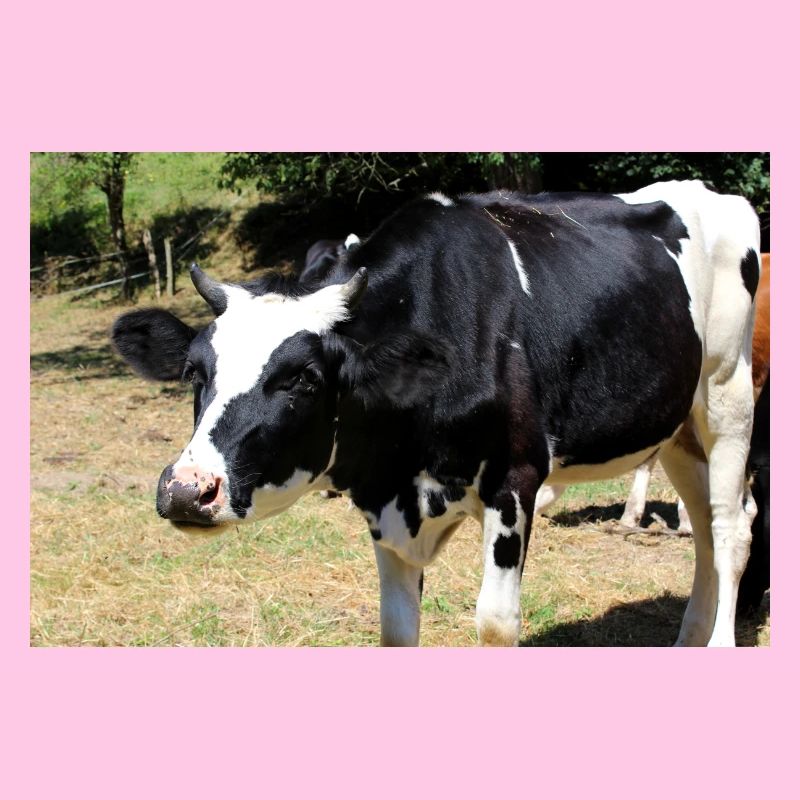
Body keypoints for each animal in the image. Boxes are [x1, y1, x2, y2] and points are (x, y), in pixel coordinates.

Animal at [112, 180, 760, 647]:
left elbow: (496, 623)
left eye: (301, 378)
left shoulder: (515, 479)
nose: (185, 490)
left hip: (728, 395)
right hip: (677, 428)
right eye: (195, 373)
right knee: (706, 525)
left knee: (731, 526)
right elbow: (397, 629)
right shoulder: (385, 499)